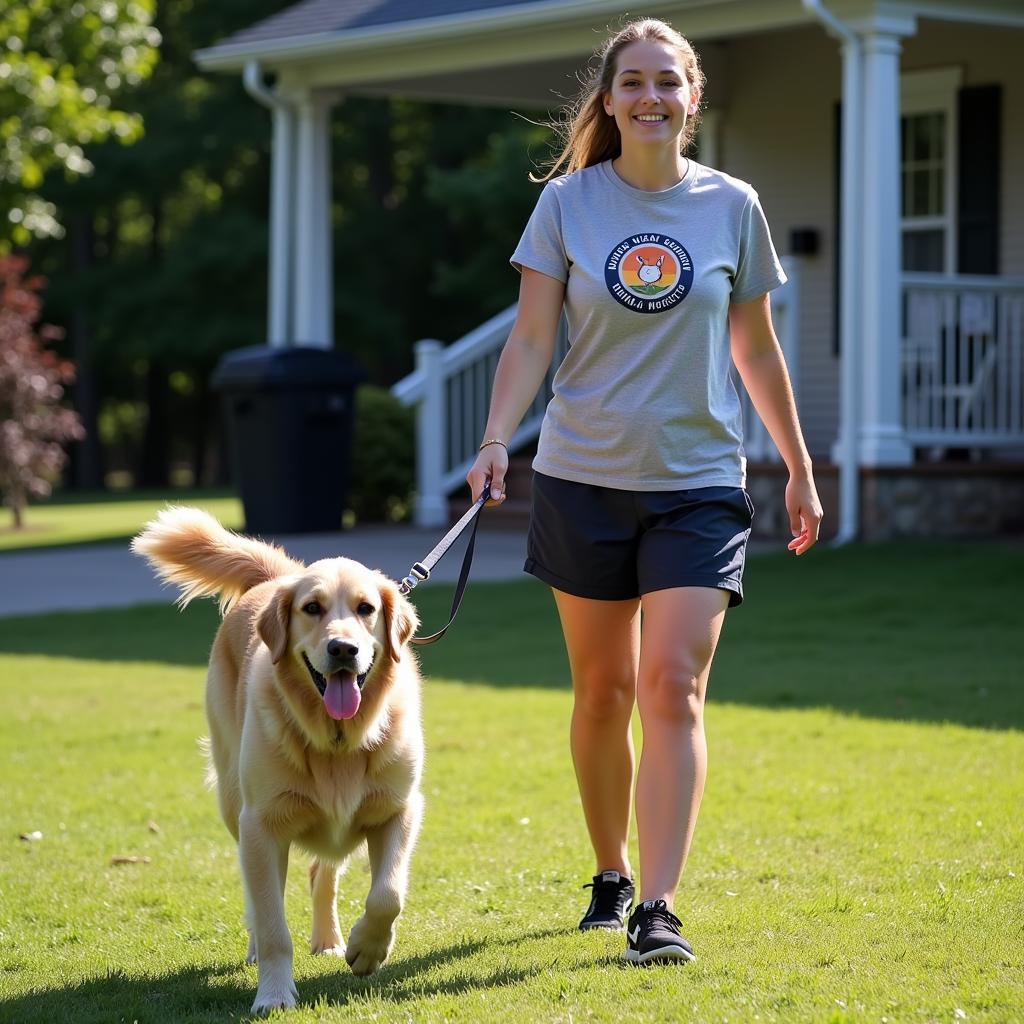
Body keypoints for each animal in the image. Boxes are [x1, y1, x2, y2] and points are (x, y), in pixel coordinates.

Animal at [132, 507, 419, 1011]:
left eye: (366, 609)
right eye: (312, 609)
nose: (343, 649)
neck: (337, 740)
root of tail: (277, 579)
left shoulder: (399, 810)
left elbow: (387, 894)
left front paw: (367, 948)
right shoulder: (261, 824)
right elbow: (271, 923)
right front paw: (274, 994)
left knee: (322, 871)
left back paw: (329, 940)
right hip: (233, 801)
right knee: (259, 896)